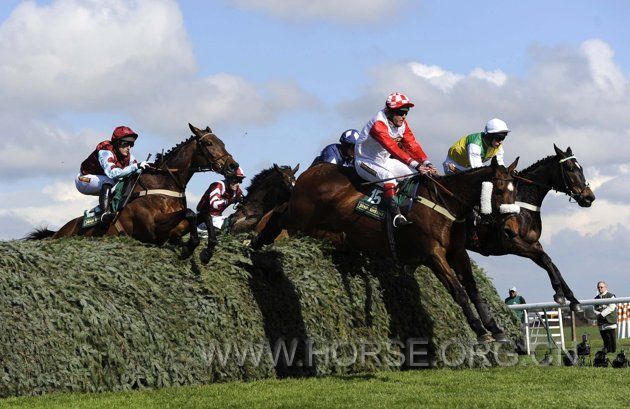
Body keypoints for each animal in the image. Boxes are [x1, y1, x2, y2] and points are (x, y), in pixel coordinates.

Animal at [26, 122, 239, 260]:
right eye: (209, 144)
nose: (233, 166)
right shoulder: (153, 228)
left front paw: (208, 249)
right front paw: (191, 247)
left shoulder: (176, 229)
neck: (163, 182)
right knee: (106, 181)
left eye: (223, 142)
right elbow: (190, 213)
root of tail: (57, 232)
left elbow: (203, 215)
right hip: (84, 182)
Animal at [256, 156, 524, 342]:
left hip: (316, 228)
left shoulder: (457, 252)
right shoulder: (433, 254)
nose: (511, 230)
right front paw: (480, 330)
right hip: (297, 219)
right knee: (277, 217)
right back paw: (255, 245)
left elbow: (473, 289)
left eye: (515, 192)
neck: (445, 204)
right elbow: (458, 291)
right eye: (500, 191)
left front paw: (495, 328)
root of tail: (310, 172)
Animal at [470, 145, 596, 310]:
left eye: (580, 167)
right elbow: (546, 258)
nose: (589, 197)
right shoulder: (512, 242)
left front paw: (572, 299)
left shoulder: (533, 243)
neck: (521, 207)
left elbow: (551, 264)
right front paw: (559, 294)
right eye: (570, 168)